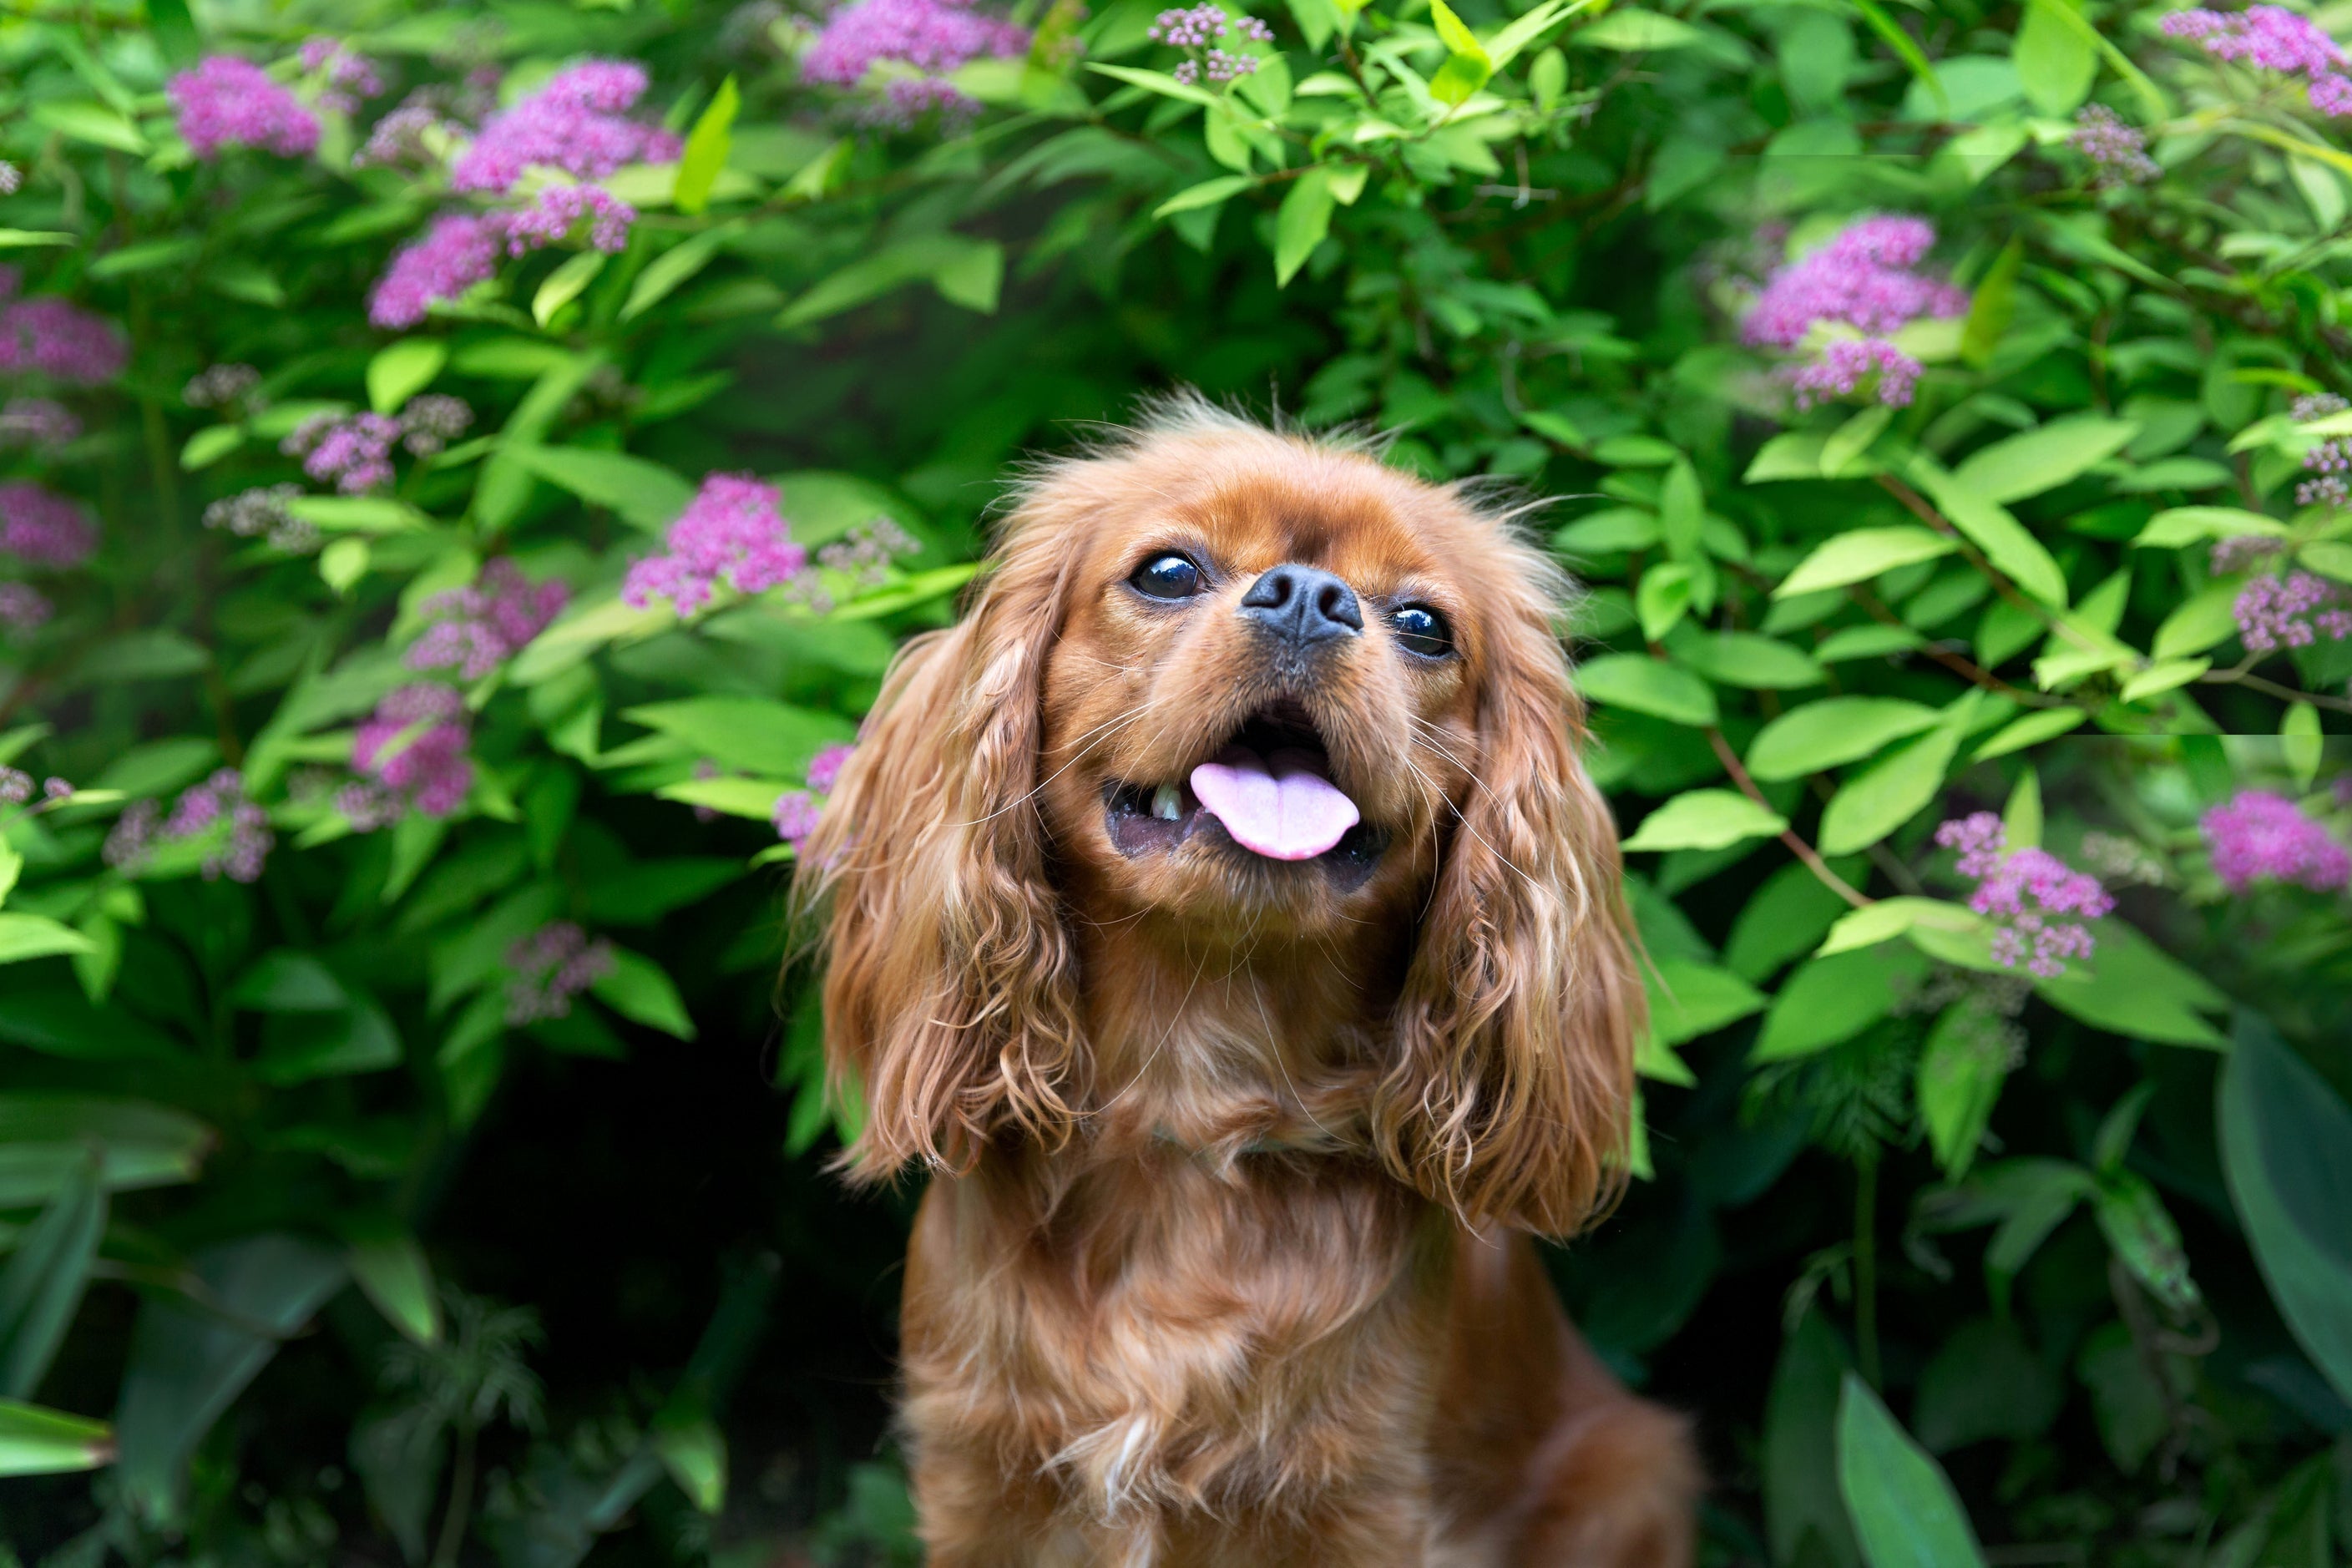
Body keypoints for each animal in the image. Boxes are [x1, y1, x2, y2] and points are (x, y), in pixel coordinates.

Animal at [799, 399, 1702, 1560]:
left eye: (1424, 625)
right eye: (1169, 571)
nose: (1312, 598)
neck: (1192, 1093)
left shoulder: (1358, 1500)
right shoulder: (982, 1478)